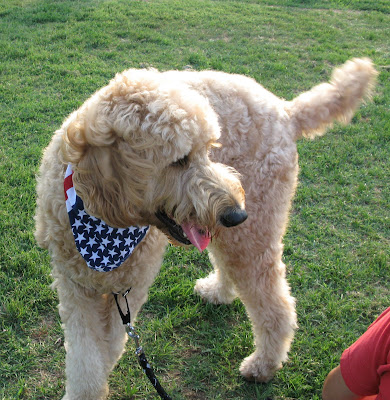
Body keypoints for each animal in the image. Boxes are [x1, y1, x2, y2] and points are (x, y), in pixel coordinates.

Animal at [35, 57, 376, 398]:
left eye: (208, 149)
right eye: (180, 160)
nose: (236, 213)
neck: (100, 221)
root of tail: (285, 110)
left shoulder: (131, 289)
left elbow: (101, 355)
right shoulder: (75, 287)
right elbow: (85, 359)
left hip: (252, 231)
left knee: (274, 304)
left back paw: (263, 364)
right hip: (231, 233)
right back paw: (218, 292)